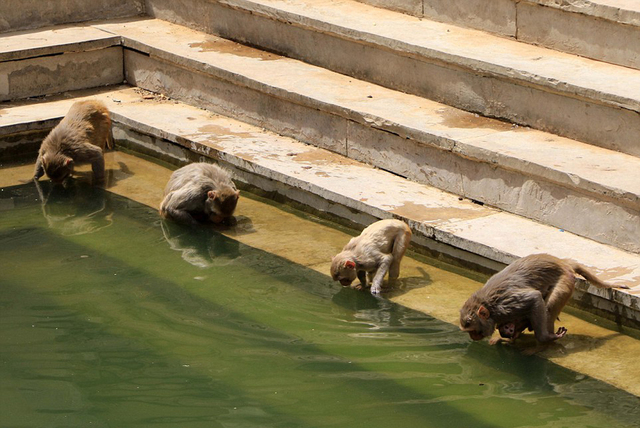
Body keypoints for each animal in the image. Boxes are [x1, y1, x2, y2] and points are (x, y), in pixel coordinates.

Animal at [460, 254, 632, 344]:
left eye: (472, 330)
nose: (472, 337)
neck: (489, 306)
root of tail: (562, 262)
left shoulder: (507, 305)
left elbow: (534, 298)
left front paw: (544, 337)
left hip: (565, 281)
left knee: (549, 306)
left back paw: (549, 337)